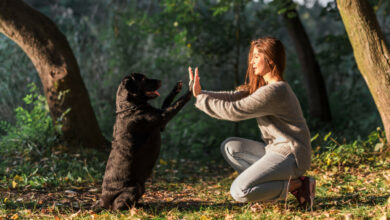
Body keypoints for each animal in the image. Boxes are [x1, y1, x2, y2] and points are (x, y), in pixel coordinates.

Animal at [96, 72, 190, 210]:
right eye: (144, 79)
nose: (160, 81)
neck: (130, 106)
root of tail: (103, 201)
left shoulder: (161, 125)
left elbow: (167, 101)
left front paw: (176, 88)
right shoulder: (162, 117)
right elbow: (176, 104)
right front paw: (191, 90)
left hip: (141, 187)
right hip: (135, 187)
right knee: (117, 206)